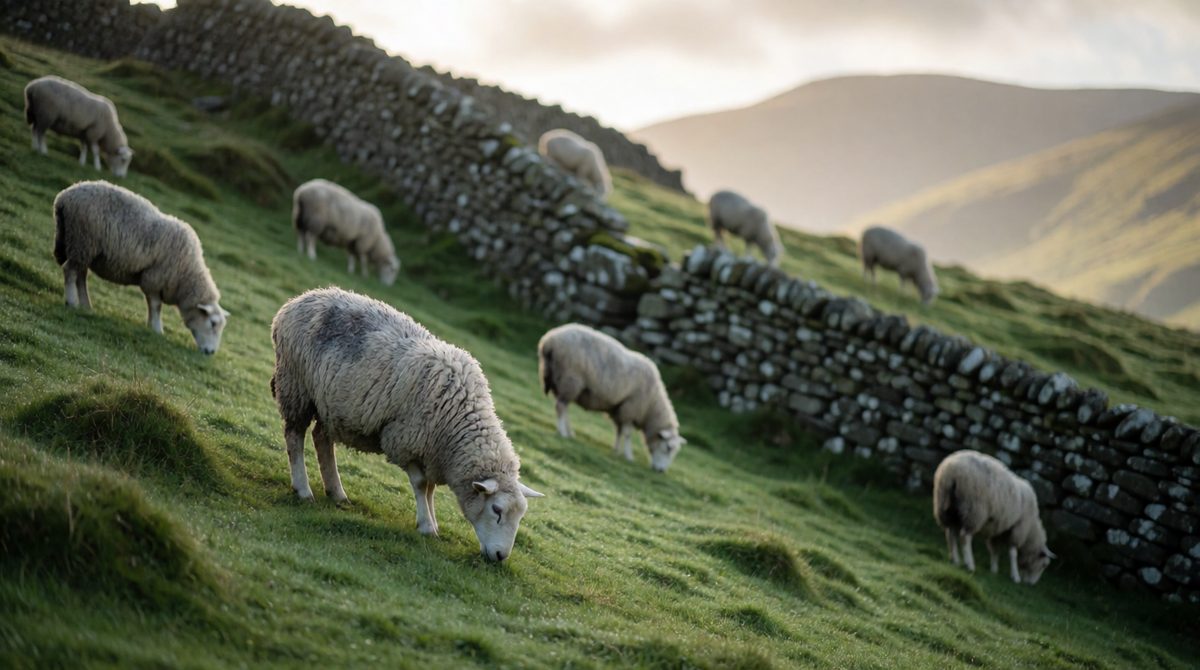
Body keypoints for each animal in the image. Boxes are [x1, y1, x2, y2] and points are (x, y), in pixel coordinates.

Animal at [52, 181, 229, 355]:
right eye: (213, 323)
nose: (211, 352)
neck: (187, 274)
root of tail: (65, 196)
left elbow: (153, 305)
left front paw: (151, 327)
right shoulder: (154, 279)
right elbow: (156, 306)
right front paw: (157, 330)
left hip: (83, 248)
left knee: (81, 276)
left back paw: (86, 306)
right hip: (82, 240)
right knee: (70, 271)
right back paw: (71, 302)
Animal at [270, 287, 544, 562]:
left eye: (520, 515)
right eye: (496, 509)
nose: (500, 556)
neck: (457, 418)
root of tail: (300, 299)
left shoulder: (431, 452)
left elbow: (430, 489)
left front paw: (432, 523)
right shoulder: (405, 440)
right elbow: (422, 484)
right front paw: (426, 527)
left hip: (329, 403)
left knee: (321, 439)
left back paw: (337, 493)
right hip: (296, 384)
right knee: (295, 435)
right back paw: (303, 490)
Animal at [537, 323, 685, 473]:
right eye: (668, 448)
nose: (661, 471)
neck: (651, 405)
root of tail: (549, 340)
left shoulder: (619, 409)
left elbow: (618, 431)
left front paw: (616, 450)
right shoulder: (631, 408)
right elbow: (627, 434)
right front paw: (628, 456)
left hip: (562, 381)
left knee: (564, 408)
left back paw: (570, 433)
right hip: (571, 379)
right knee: (561, 407)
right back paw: (562, 432)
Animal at [933, 449, 1056, 584]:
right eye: (1044, 565)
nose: (1031, 584)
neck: (1031, 529)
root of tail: (952, 470)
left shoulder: (998, 528)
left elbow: (994, 550)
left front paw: (994, 569)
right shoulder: (1018, 529)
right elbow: (1013, 553)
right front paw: (1015, 576)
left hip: (948, 507)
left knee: (951, 534)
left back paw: (955, 560)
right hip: (974, 510)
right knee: (965, 536)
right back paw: (969, 564)